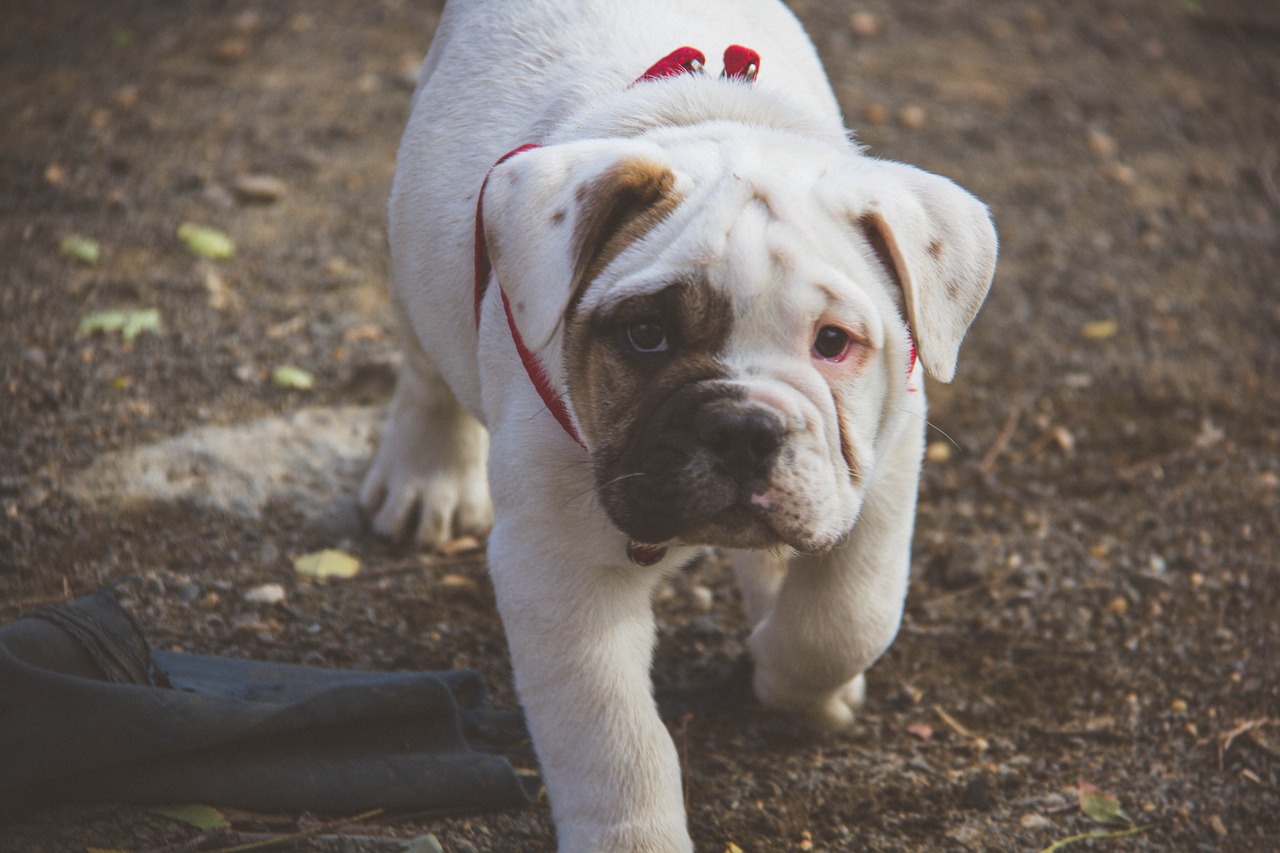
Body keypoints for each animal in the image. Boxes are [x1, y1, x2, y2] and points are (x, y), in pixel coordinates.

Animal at [360, 3, 998, 845]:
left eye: (833, 342)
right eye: (645, 334)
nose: (743, 426)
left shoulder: (883, 479)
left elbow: (847, 617)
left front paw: (794, 678)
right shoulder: (561, 574)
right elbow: (611, 733)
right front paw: (633, 835)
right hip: (416, 258)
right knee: (428, 373)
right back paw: (425, 477)